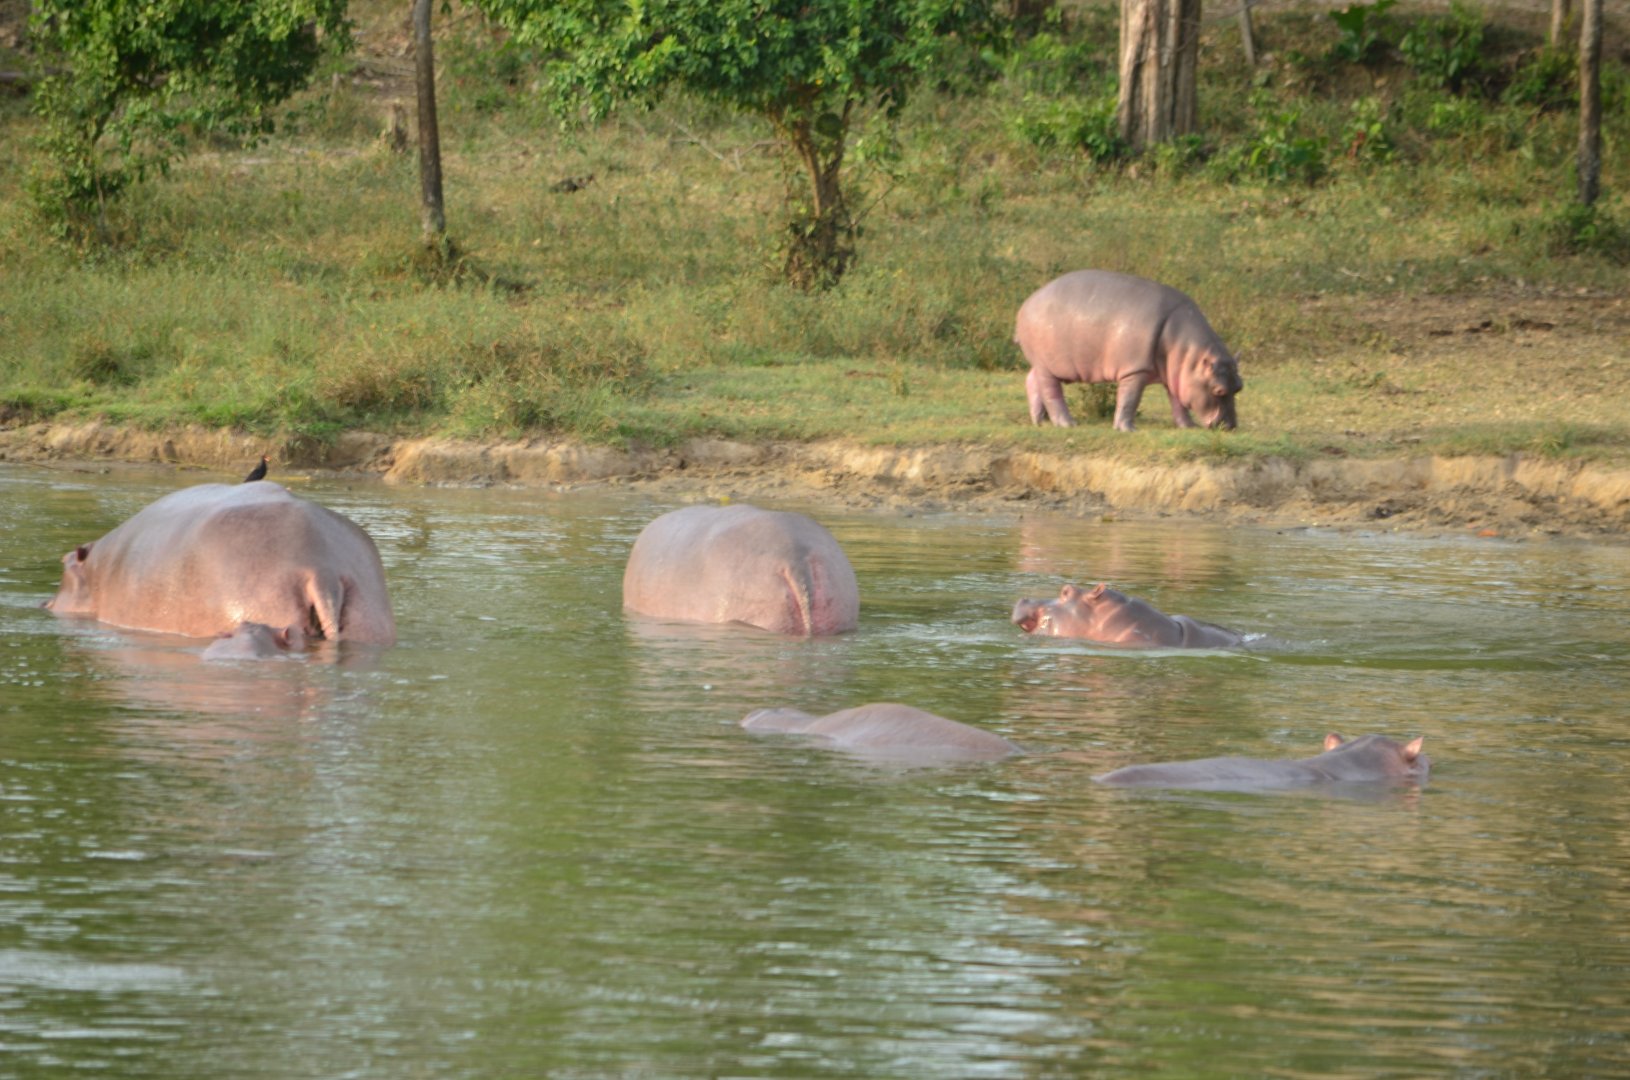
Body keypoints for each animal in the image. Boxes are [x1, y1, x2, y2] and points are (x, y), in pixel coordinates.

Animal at [1014, 270, 1243, 431]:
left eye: (1239, 386)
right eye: (1219, 390)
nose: (1230, 426)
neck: (1188, 354)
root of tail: (1025, 304)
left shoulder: (1176, 375)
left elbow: (1178, 402)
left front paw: (1188, 426)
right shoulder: (1135, 370)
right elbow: (1129, 400)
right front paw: (1127, 429)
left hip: (1041, 363)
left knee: (1031, 381)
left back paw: (1039, 421)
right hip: (1047, 366)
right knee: (1051, 392)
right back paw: (1067, 424)